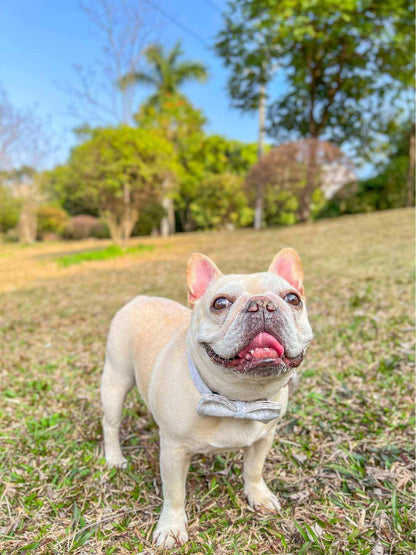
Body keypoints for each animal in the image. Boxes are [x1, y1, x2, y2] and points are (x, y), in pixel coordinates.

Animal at [101, 250, 312, 548]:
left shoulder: (263, 438)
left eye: (293, 299)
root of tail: (139, 299)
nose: (261, 304)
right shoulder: (174, 452)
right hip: (116, 380)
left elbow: (254, 470)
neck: (238, 400)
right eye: (219, 303)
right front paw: (171, 528)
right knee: (110, 423)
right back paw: (115, 458)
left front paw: (258, 496)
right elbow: (175, 494)